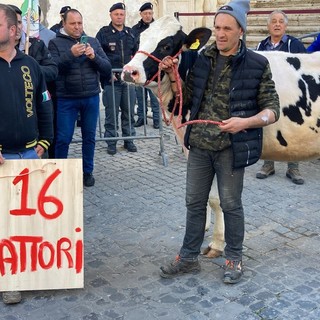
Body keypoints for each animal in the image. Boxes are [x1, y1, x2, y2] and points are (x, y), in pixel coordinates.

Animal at [122, 16, 320, 258]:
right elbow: (206, 195)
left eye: (166, 46)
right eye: (140, 39)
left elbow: (218, 199)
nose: (128, 71)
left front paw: (217, 243)